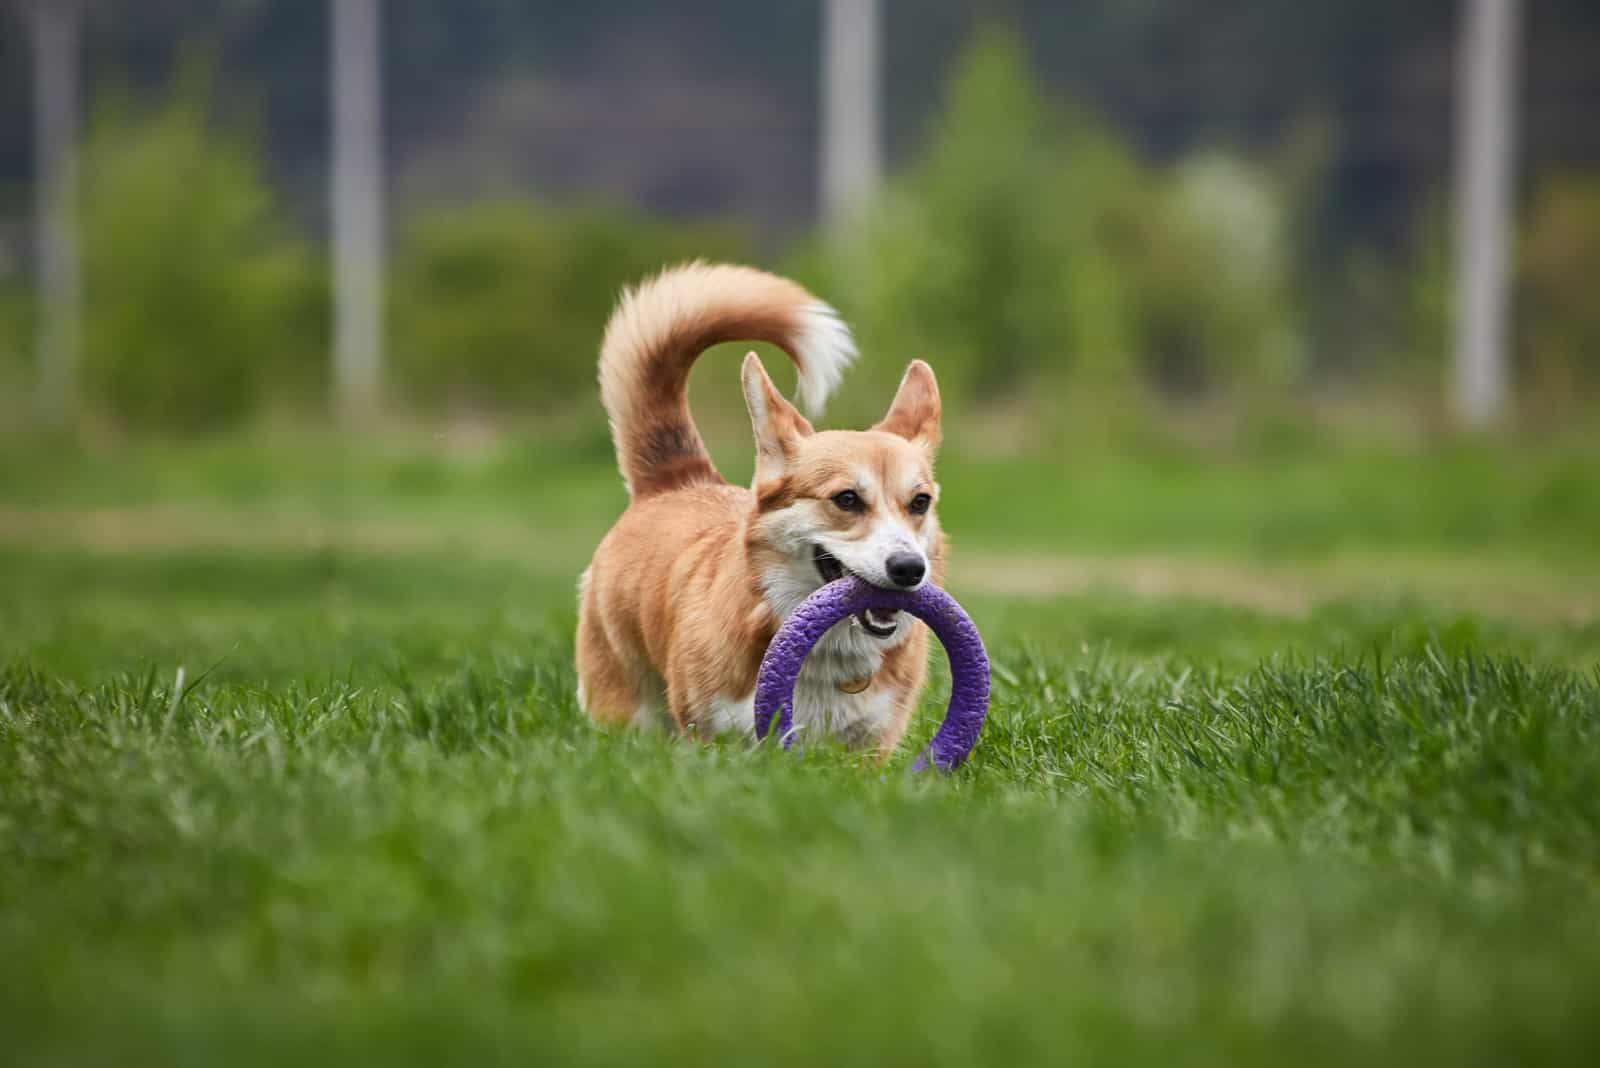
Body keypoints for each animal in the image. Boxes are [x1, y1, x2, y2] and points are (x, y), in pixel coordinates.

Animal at [579, 262, 940, 754]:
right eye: (846, 499)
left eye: (920, 502)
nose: (909, 569)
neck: (826, 651)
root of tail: (677, 478)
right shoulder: (708, 733)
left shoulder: (871, 744)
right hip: (625, 705)